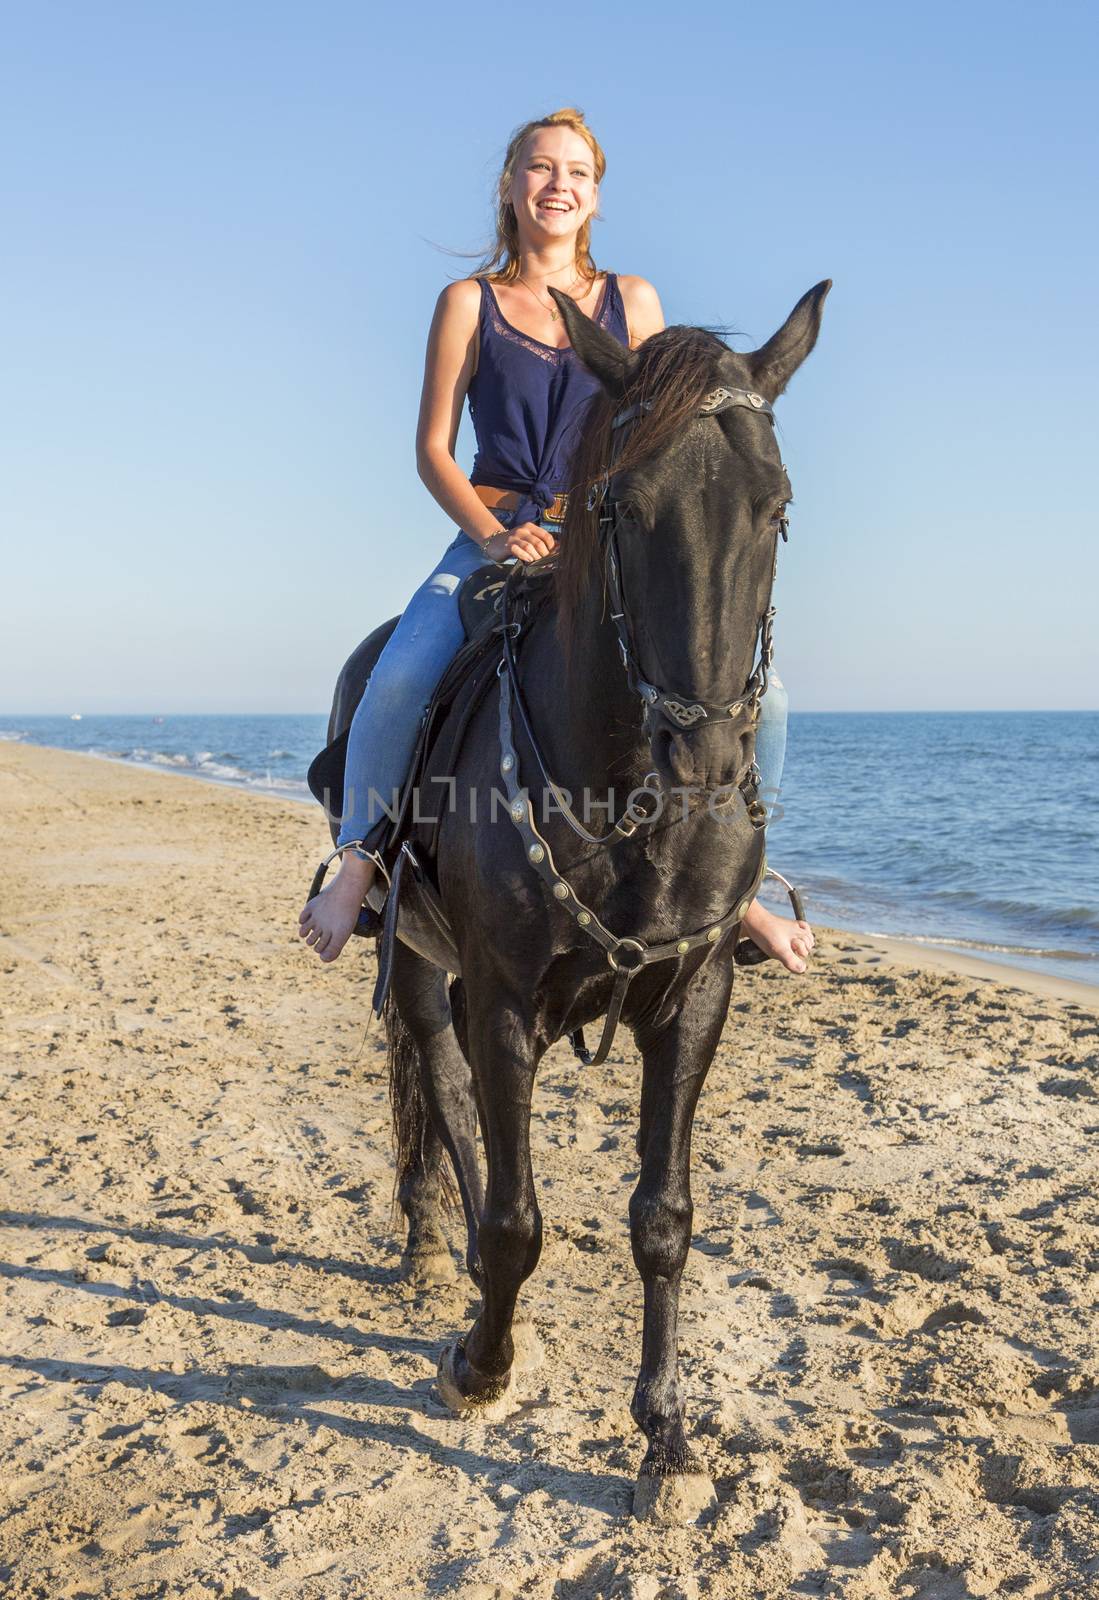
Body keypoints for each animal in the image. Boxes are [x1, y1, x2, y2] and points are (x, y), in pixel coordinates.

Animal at [323, 278, 831, 1523]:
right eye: (623, 507)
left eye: (776, 508)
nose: (705, 763)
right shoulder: (504, 995)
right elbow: (514, 1216)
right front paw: (480, 1365)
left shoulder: (692, 1002)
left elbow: (664, 1218)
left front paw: (667, 1438)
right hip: (422, 962)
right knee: (442, 1087)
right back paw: (436, 1253)